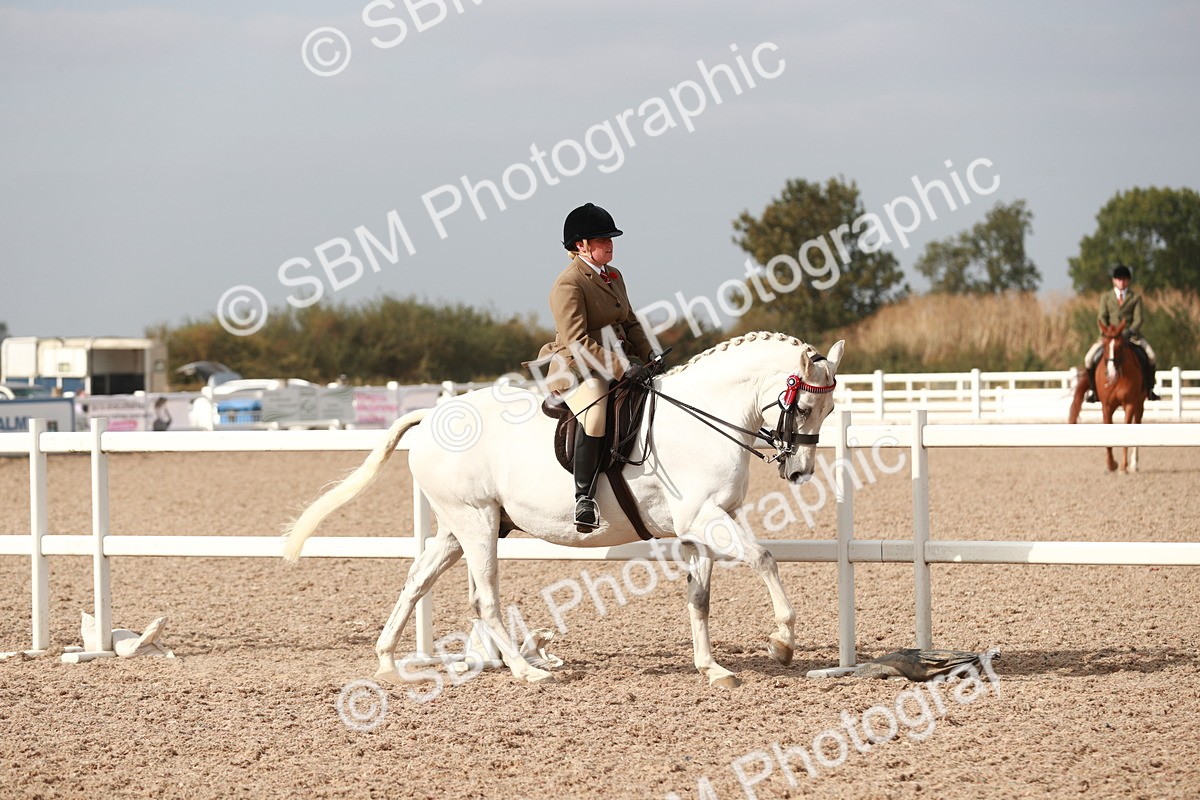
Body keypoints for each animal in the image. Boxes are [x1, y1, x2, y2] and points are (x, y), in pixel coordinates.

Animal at [283, 332, 845, 689]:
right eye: (804, 405)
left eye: (831, 409)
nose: (800, 472)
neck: (702, 418)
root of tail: (431, 416)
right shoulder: (705, 516)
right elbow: (764, 559)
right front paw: (782, 643)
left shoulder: (700, 525)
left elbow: (700, 597)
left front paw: (713, 669)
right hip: (476, 522)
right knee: (484, 600)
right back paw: (526, 671)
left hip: (460, 526)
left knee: (418, 578)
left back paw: (387, 661)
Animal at [1068, 320, 1146, 472]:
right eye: (1104, 346)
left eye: (1120, 346)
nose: (1111, 374)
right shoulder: (1107, 406)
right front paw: (1111, 464)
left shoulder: (1130, 404)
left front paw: (1123, 465)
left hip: (1140, 403)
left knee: (1137, 423)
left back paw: (1134, 464)